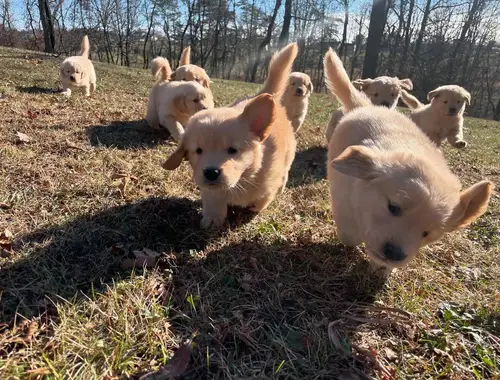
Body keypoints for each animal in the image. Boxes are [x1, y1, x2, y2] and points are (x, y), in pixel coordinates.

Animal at [164, 43, 298, 229]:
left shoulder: (268, 184)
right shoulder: (211, 189)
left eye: (233, 150)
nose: (211, 172)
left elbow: (263, 199)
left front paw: (253, 207)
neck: (243, 179)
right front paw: (213, 219)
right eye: (198, 151)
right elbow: (214, 199)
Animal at [324, 49, 492, 276]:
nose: (394, 253)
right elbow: (349, 232)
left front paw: (382, 270)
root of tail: (369, 107)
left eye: (426, 233)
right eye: (393, 207)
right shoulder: (342, 193)